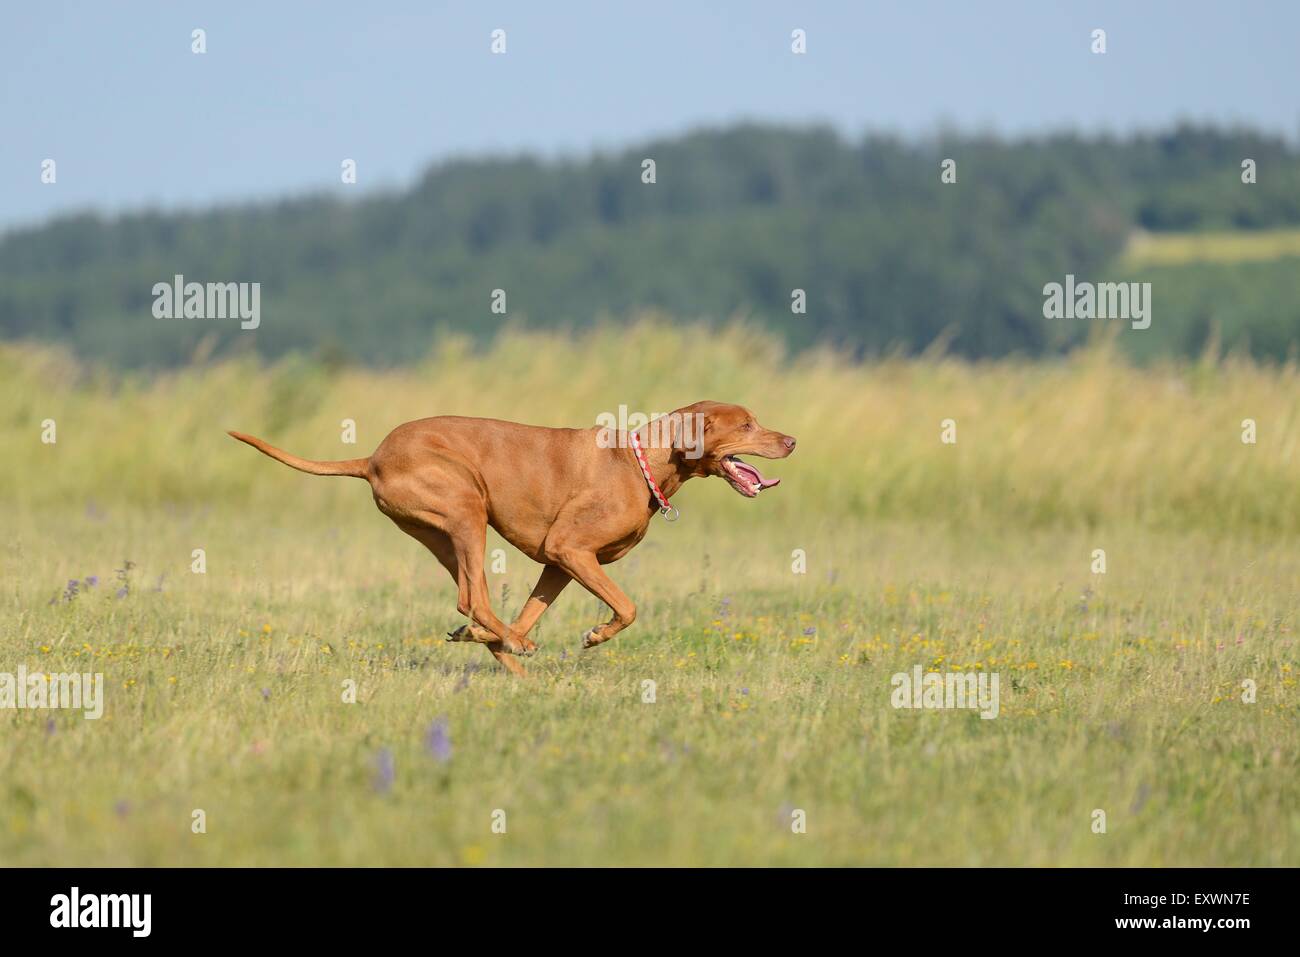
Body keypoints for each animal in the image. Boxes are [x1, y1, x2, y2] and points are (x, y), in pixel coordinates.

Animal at [232, 400, 790, 676]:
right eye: (746, 425)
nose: (792, 440)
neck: (641, 461)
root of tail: (371, 457)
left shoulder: (559, 563)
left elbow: (529, 610)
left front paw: (502, 641)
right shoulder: (572, 550)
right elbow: (628, 608)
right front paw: (594, 635)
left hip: (444, 534)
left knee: (470, 601)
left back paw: (503, 651)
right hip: (467, 511)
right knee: (474, 599)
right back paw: (511, 646)